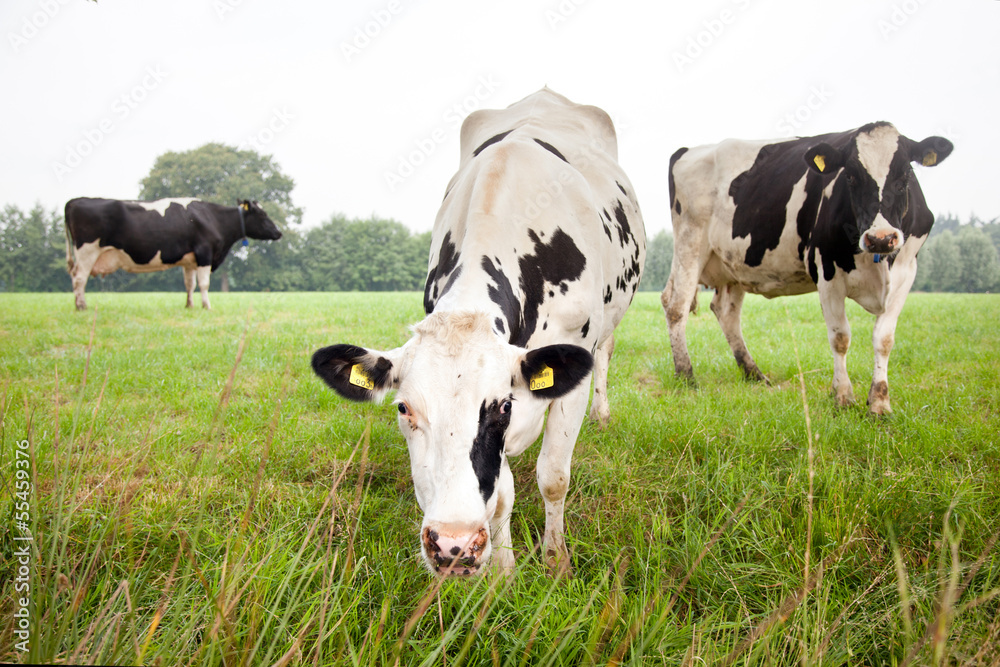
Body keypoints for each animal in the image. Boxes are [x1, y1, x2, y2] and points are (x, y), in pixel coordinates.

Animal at [62, 197, 282, 312]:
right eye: (263, 215)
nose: (279, 232)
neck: (213, 218)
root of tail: (74, 201)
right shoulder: (205, 254)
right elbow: (204, 284)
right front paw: (207, 305)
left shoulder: (189, 261)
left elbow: (189, 284)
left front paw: (189, 305)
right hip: (87, 251)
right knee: (79, 279)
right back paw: (81, 306)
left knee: (74, 278)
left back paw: (76, 304)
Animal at [310, 90, 648, 580]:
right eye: (403, 408)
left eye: (502, 406)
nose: (453, 544)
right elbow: (501, 492)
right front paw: (504, 570)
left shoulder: (567, 375)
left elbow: (553, 476)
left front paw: (556, 562)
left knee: (606, 353)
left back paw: (602, 415)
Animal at [664, 119, 952, 412]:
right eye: (850, 176)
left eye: (906, 174)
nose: (881, 238)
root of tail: (689, 150)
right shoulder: (827, 271)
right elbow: (840, 338)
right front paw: (843, 397)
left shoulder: (906, 272)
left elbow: (884, 339)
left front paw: (879, 404)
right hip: (690, 242)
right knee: (676, 306)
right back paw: (686, 374)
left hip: (733, 263)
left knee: (726, 312)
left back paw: (754, 374)